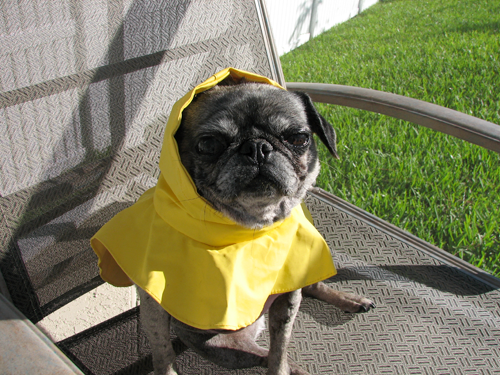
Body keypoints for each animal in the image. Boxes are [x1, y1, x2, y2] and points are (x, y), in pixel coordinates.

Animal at [139, 79, 374, 375]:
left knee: (309, 290)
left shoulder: (286, 303)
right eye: (209, 144)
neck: (252, 227)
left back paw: (349, 300)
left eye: (298, 138)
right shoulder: (153, 306)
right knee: (263, 356)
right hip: (225, 350)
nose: (257, 148)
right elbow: (162, 352)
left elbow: (279, 350)